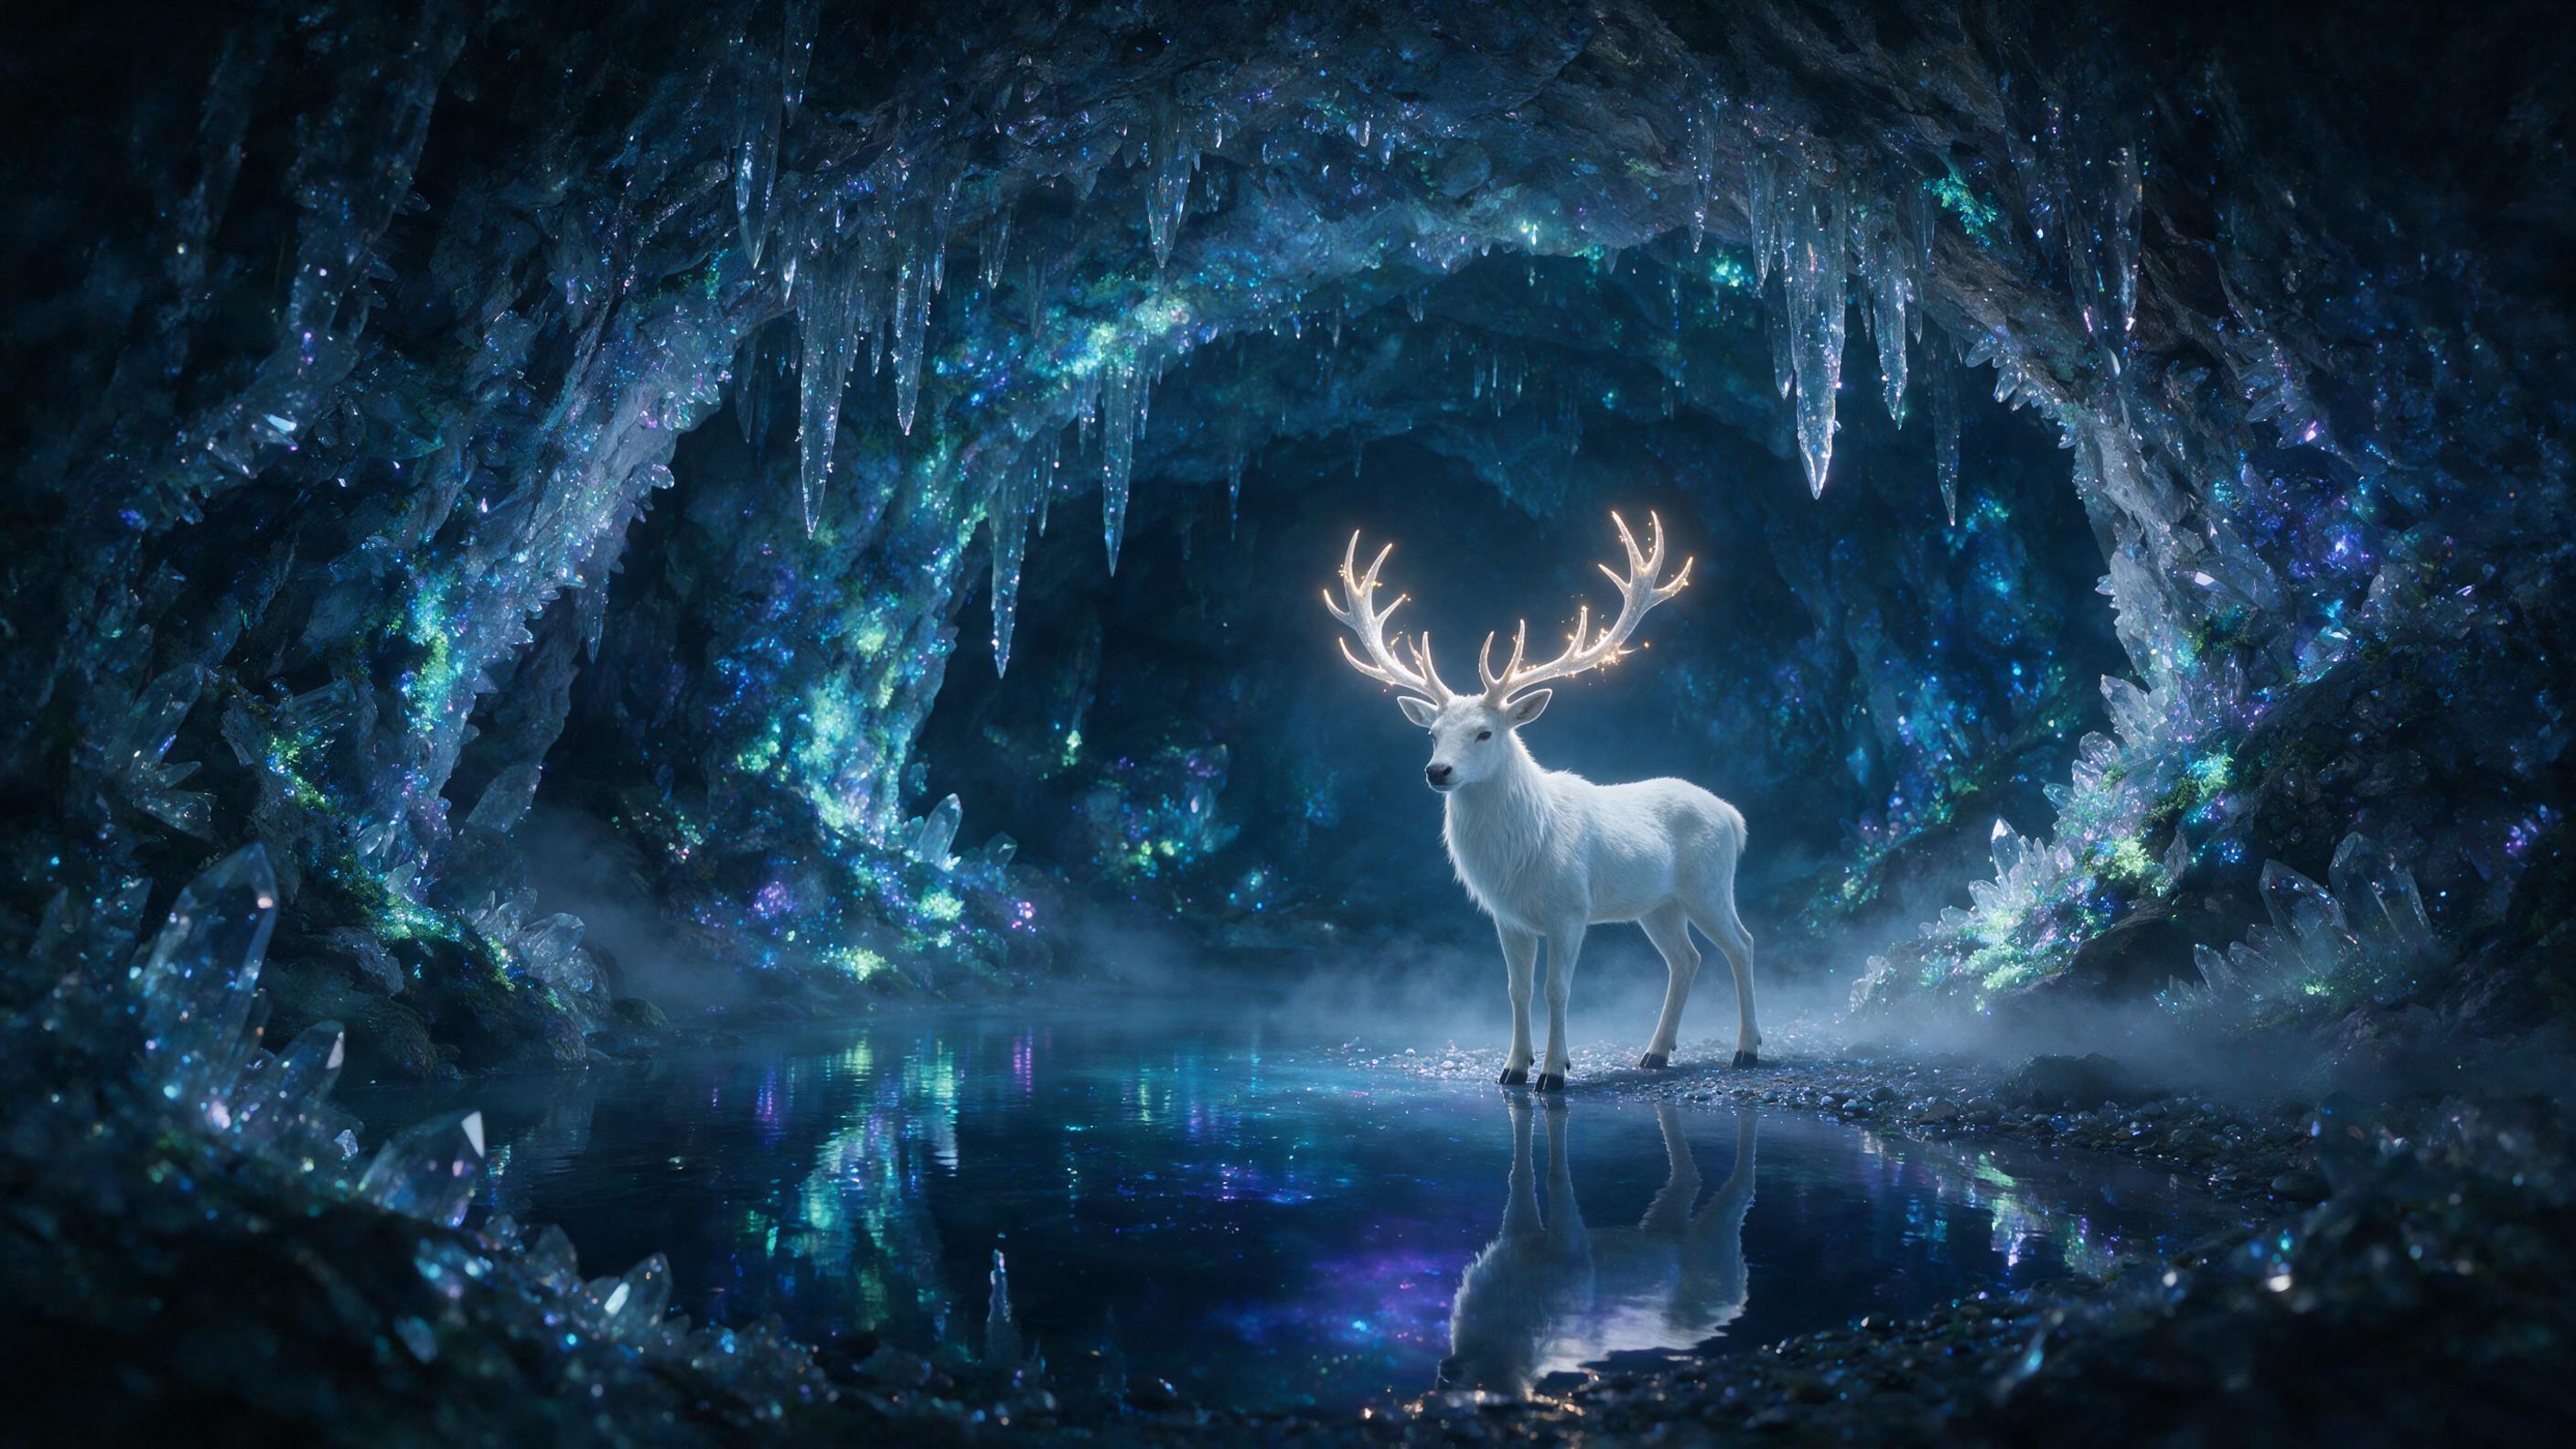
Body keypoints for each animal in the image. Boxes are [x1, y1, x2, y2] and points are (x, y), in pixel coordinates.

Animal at [1323, 512, 1758, 1091]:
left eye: (1485, 732)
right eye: (1432, 734)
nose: (1437, 772)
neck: (1523, 850)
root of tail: (1734, 817)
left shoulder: (1570, 908)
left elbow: (1557, 990)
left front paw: (1553, 1071)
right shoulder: (1506, 917)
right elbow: (1516, 989)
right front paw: (1513, 1067)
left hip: (1708, 884)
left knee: (1741, 944)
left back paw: (1746, 1049)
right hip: (1658, 904)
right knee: (1685, 959)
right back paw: (1656, 1052)